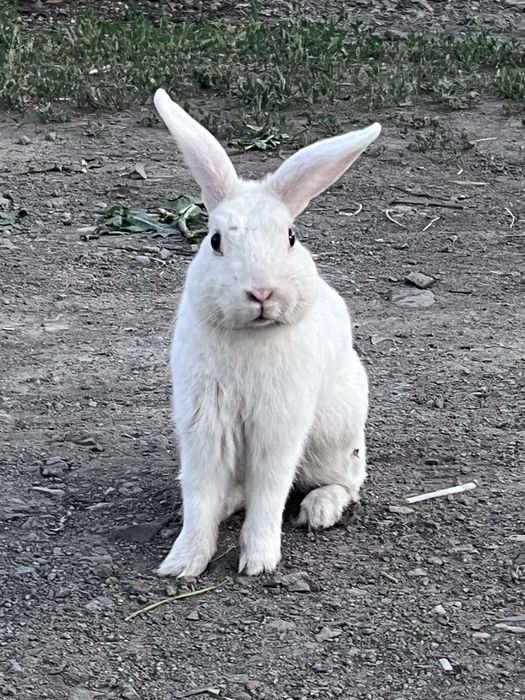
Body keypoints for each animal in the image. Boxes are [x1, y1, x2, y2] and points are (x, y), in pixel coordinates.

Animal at [153, 88, 381, 577]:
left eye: (291, 237)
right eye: (215, 240)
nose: (261, 292)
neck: (251, 334)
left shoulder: (278, 426)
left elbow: (270, 492)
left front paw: (258, 561)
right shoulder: (205, 426)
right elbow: (200, 493)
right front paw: (181, 563)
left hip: (335, 438)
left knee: (346, 483)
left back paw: (319, 510)